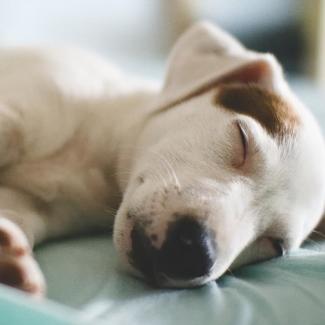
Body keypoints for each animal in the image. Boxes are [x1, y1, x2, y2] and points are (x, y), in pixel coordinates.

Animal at [0, 22, 324, 296]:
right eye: (242, 137)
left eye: (274, 245)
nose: (195, 253)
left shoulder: (38, 206)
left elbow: (17, 215)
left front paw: (10, 260)